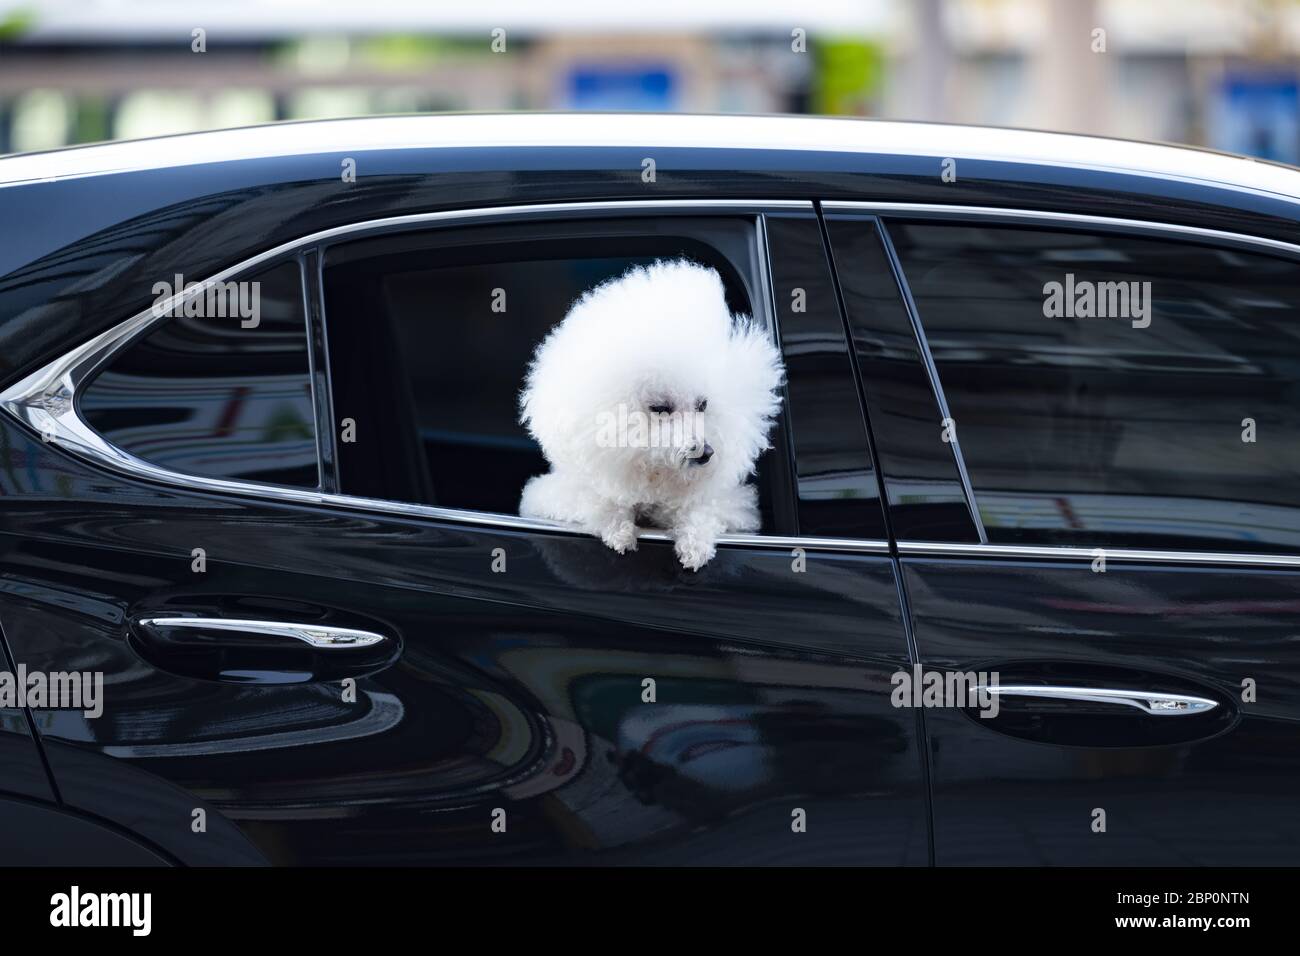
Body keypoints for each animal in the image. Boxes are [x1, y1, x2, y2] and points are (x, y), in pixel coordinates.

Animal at [517, 257, 780, 567]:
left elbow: (702, 509)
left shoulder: (732, 506)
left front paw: (695, 543)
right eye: (660, 408)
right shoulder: (553, 494)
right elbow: (598, 501)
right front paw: (619, 530)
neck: (653, 474)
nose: (705, 453)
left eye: (703, 405)